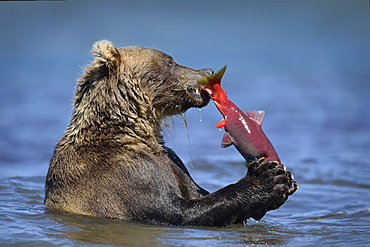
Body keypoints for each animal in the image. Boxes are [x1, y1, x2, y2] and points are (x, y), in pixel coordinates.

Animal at [44, 40, 298, 226]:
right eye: (170, 60)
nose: (207, 70)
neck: (132, 130)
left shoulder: (172, 161)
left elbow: (197, 194)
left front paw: (280, 182)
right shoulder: (120, 174)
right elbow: (176, 211)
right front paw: (266, 178)